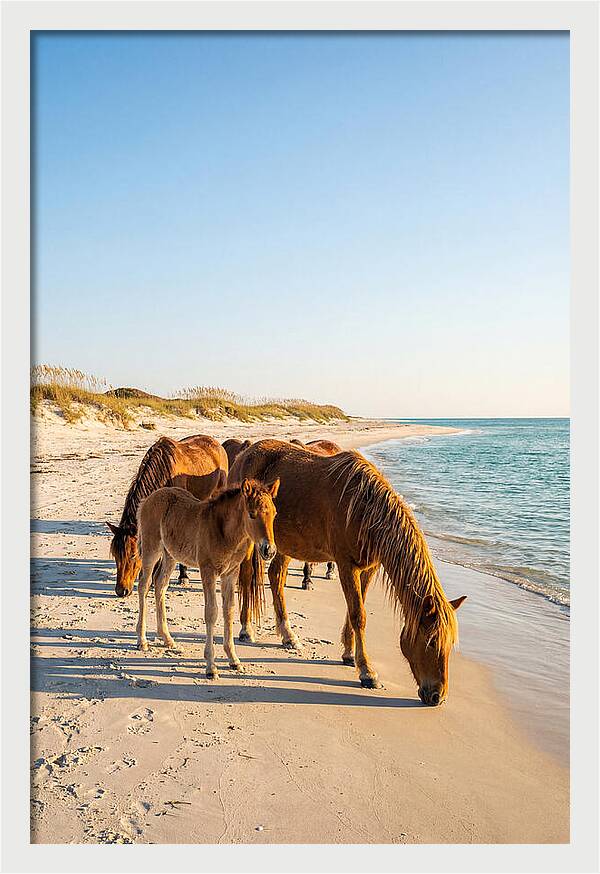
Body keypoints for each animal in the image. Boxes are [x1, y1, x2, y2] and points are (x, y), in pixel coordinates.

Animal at [107, 434, 228, 597]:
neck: (164, 473)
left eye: (132, 555)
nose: (121, 591)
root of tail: (216, 444)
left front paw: (183, 576)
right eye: (115, 555)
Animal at [135, 478, 279, 678]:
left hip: (171, 555)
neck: (225, 532)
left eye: (274, 514)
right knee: (144, 584)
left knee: (160, 585)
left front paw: (234, 659)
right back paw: (142, 640)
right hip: (151, 549)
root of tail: (148, 499)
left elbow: (229, 610)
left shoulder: (230, 573)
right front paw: (211, 666)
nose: (269, 550)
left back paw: (167, 638)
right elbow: (211, 612)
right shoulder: (208, 571)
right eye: (252, 514)